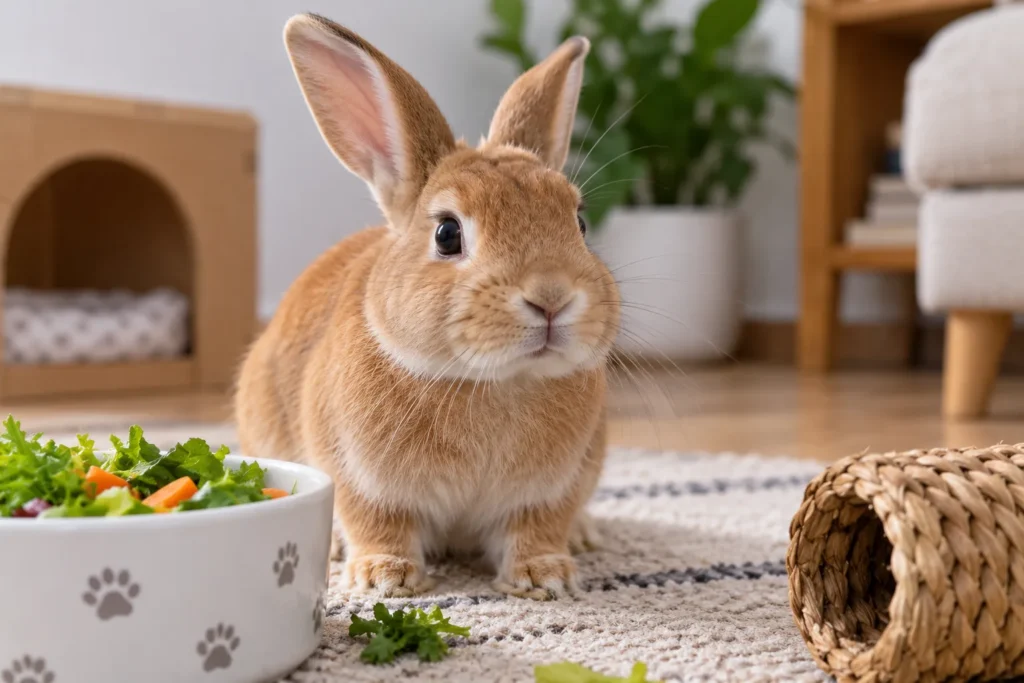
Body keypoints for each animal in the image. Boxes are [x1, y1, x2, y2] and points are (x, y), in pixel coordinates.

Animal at [235, 13, 621, 600]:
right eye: (446, 234)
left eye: (579, 223)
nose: (552, 297)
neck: (493, 382)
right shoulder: (359, 475)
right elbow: (375, 520)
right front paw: (383, 577)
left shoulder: (551, 489)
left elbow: (537, 527)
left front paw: (544, 577)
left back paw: (584, 535)